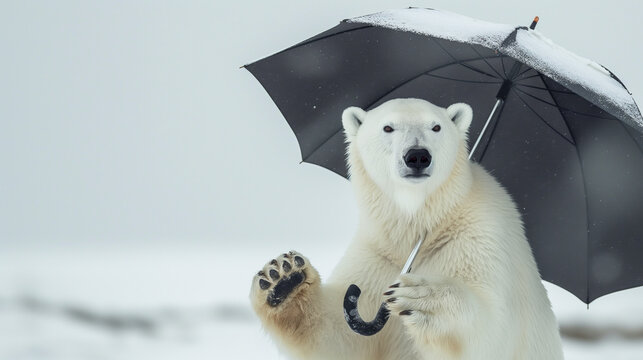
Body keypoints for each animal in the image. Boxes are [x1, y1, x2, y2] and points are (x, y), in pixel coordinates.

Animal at [250, 97, 564, 358]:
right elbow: (340, 339)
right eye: (388, 127)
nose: (417, 156)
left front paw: (423, 298)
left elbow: (491, 332)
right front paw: (282, 277)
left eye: (436, 126)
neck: (420, 225)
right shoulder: (379, 252)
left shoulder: (478, 237)